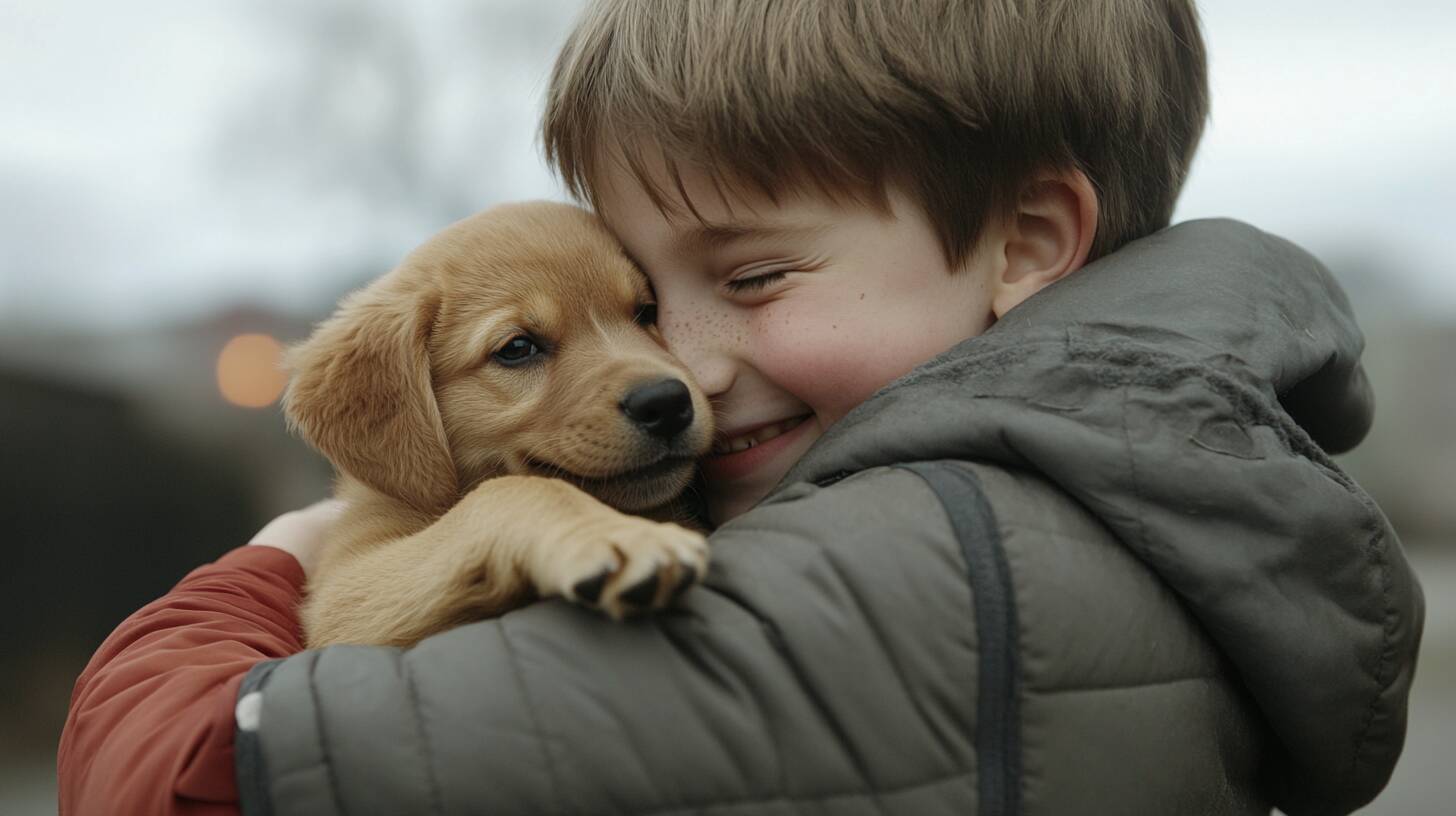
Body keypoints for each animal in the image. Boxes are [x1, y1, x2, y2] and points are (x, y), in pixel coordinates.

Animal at [282, 201, 710, 646]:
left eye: (647, 311)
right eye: (517, 348)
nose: (666, 403)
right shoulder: (342, 592)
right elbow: (509, 490)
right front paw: (617, 534)